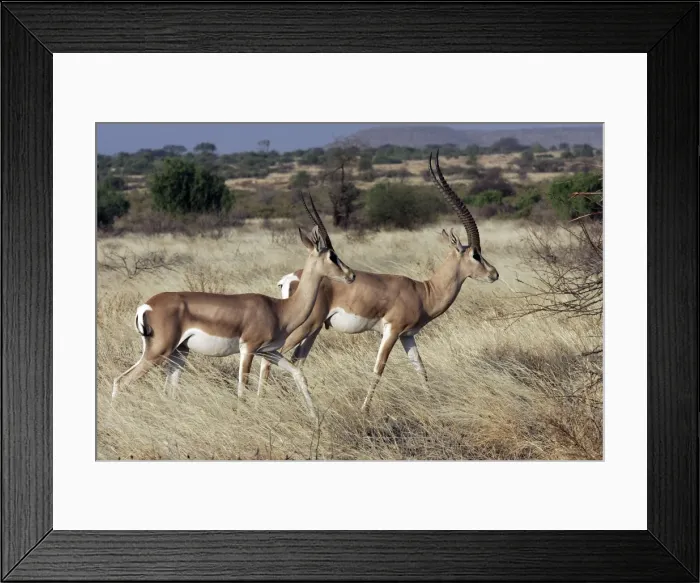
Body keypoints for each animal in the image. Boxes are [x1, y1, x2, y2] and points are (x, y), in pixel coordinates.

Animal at [111, 193, 356, 421]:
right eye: (332, 256)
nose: (351, 275)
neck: (279, 309)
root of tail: (146, 306)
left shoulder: (269, 351)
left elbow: (298, 374)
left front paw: (315, 418)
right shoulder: (248, 349)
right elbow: (242, 390)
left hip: (180, 352)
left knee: (168, 391)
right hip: (157, 353)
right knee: (121, 381)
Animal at [258, 151, 499, 413]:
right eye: (475, 254)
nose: (494, 274)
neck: (423, 292)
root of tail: (290, 278)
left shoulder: (407, 336)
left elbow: (420, 367)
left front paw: (432, 401)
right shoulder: (391, 331)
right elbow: (378, 369)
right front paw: (364, 410)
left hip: (313, 330)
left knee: (295, 361)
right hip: (302, 328)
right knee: (269, 360)